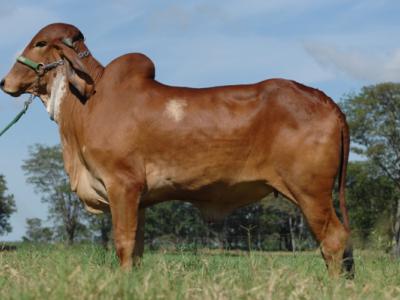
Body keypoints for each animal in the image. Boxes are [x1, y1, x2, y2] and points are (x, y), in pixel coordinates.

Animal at [1, 24, 354, 278]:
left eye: (40, 43)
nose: (5, 82)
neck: (88, 101)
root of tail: (326, 100)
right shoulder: (138, 198)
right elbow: (137, 248)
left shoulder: (122, 185)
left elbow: (123, 243)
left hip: (311, 192)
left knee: (334, 240)